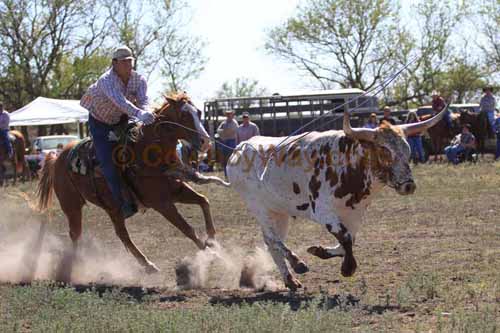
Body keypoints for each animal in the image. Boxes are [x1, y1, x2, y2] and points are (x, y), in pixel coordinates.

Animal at [37, 93, 225, 278]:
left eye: (199, 112)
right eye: (184, 115)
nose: (205, 142)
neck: (149, 153)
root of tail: (57, 157)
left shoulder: (177, 191)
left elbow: (204, 201)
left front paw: (212, 241)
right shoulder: (162, 203)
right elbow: (187, 228)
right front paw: (212, 253)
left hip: (112, 208)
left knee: (122, 234)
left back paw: (148, 265)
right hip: (72, 206)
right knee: (76, 233)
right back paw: (69, 269)